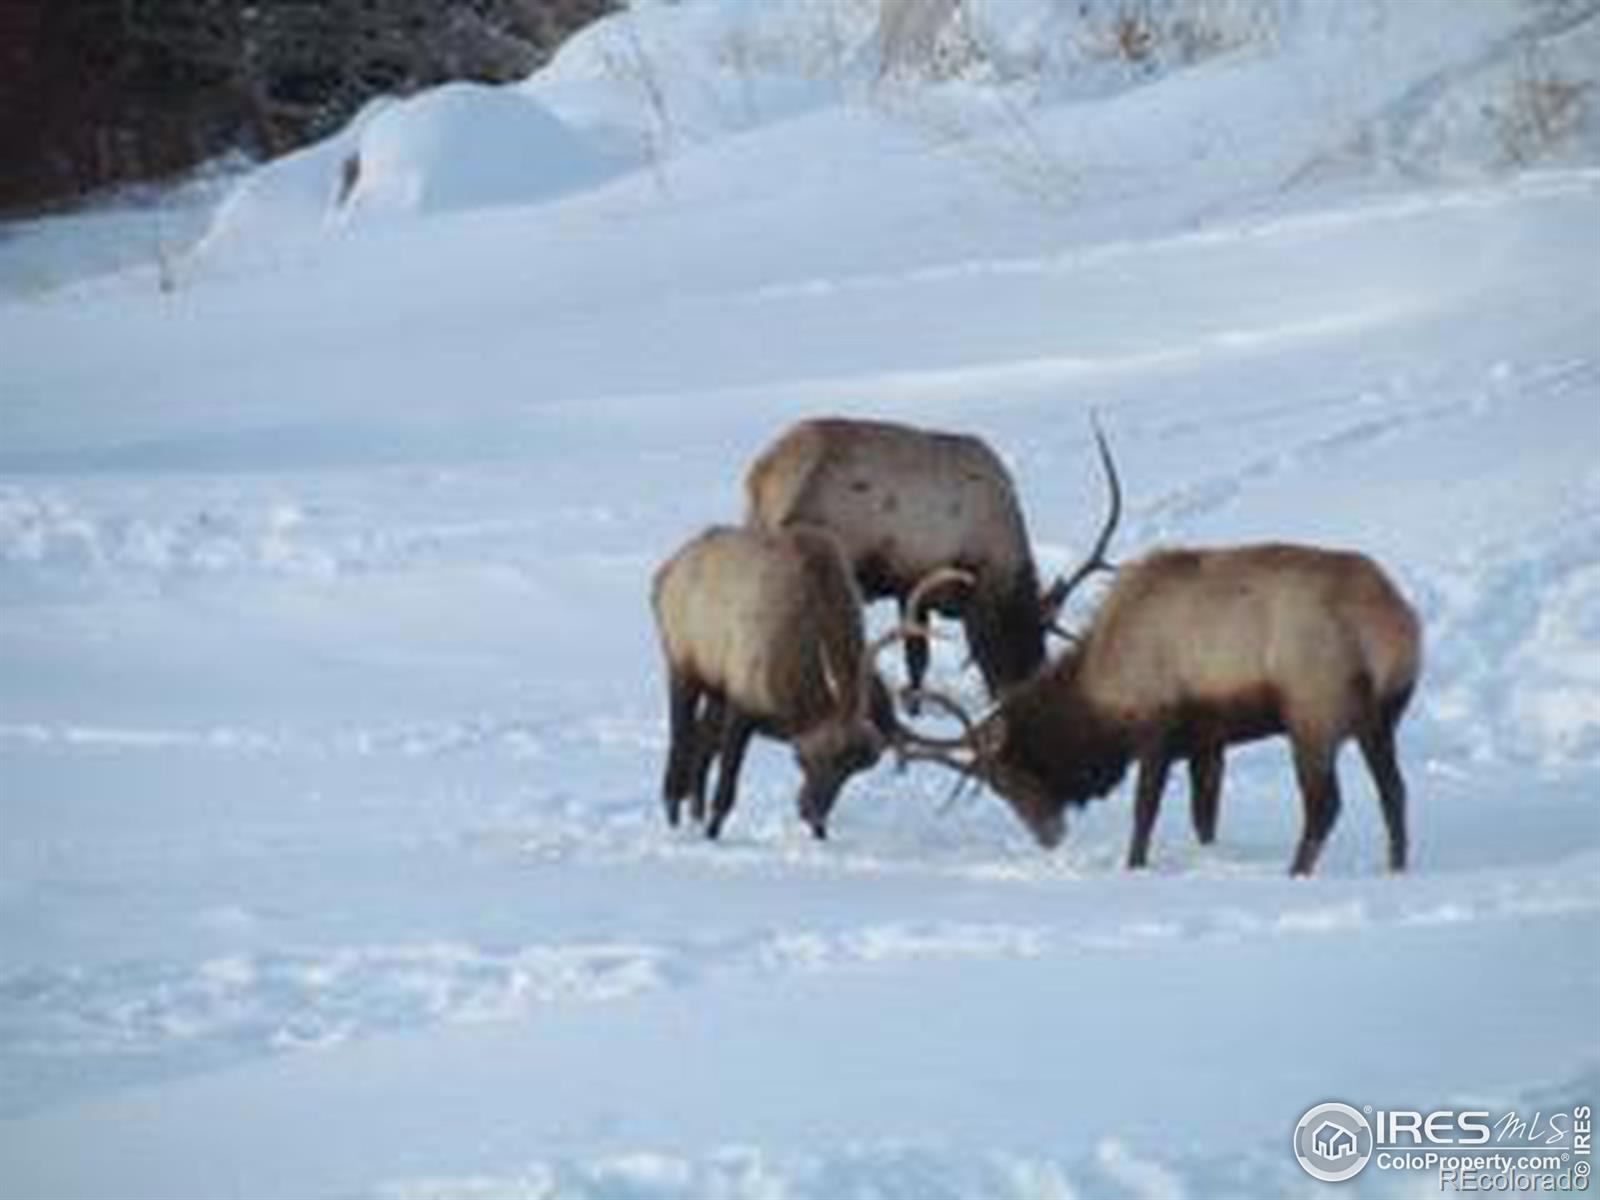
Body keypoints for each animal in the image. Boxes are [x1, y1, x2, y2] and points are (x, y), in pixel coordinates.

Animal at [649, 524, 960, 844]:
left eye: (853, 770)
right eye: (816, 759)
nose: (813, 812)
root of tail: (665, 573)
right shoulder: (742, 700)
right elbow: (726, 788)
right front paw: (712, 832)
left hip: (715, 685)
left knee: (700, 743)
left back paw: (693, 812)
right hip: (682, 665)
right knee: (681, 737)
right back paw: (673, 811)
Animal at [742, 419, 1094, 704]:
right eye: (1022, 633)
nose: (1013, 694)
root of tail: (760, 475)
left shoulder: (910, 588)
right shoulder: (920, 579)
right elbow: (919, 658)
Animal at [902, 432, 1427, 876]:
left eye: (1003, 774)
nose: (1047, 835)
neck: (1099, 690)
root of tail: (1395, 628)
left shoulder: (1157, 726)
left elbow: (1144, 811)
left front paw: (1134, 867)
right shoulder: (1208, 737)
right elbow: (1204, 816)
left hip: (1313, 712)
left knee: (1325, 805)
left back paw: (1297, 872)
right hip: (1380, 718)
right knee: (1394, 793)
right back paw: (1396, 868)